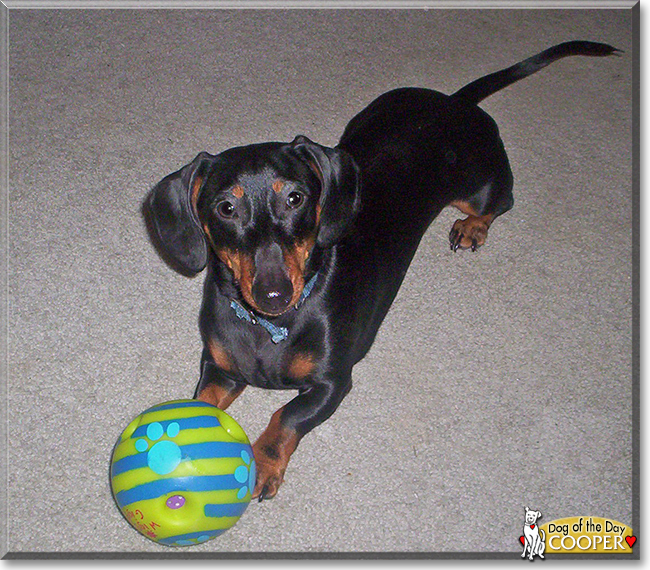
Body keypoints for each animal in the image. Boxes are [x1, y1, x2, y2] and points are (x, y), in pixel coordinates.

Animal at [146, 42, 616, 500]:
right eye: (226, 208)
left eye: (296, 198)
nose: (273, 295)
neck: (270, 327)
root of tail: (455, 102)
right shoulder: (218, 368)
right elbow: (202, 403)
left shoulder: (332, 383)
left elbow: (286, 415)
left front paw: (262, 464)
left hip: (481, 186)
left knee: (500, 202)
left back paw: (472, 227)